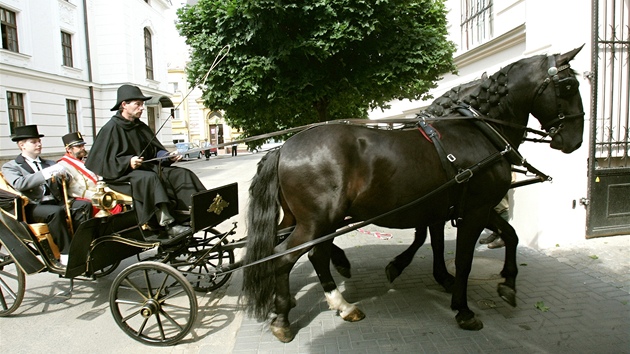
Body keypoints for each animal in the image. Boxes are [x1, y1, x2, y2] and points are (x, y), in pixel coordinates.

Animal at [243, 48, 588, 342]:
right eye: (570, 86)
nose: (574, 141)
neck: (477, 131)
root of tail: (283, 147)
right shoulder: (475, 210)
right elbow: (463, 259)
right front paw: (463, 309)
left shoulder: (465, 207)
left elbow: (506, 236)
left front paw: (506, 283)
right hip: (318, 221)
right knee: (284, 257)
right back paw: (285, 318)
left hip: (310, 221)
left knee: (312, 254)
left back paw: (336, 303)